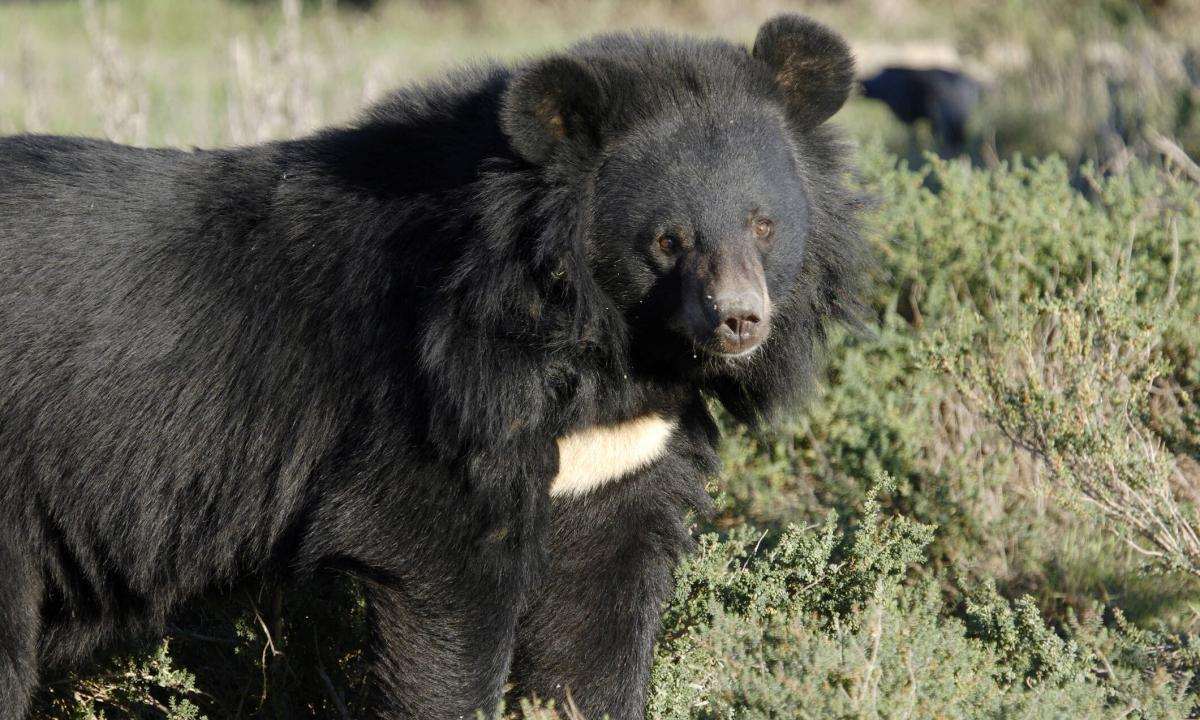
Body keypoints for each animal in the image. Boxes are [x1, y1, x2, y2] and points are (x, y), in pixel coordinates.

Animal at [0, 14, 867, 720]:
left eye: (763, 225)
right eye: (667, 239)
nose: (739, 321)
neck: (600, 341)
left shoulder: (623, 449)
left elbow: (598, 615)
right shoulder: (435, 400)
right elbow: (445, 583)